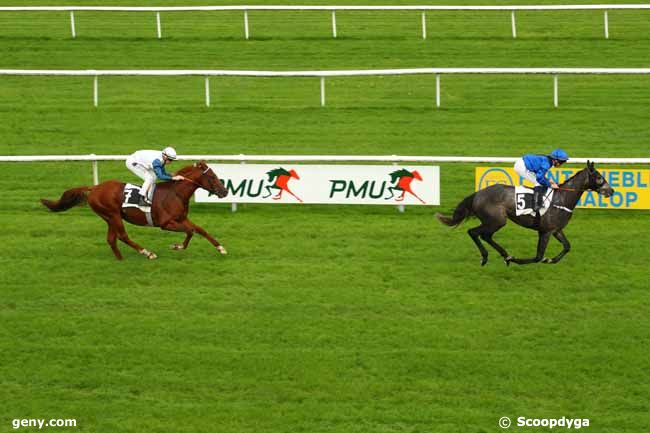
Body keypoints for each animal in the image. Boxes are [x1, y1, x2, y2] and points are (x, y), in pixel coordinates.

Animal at [41, 160, 228, 258]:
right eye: (212, 177)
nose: (225, 192)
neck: (175, 193)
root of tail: (94, 188)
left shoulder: (181, 218)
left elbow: (200, 230)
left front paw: (221, 248)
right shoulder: (166, 224)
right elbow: (190, 231)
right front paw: (177, 246)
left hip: (109, 217)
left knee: (111, 239)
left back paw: (120, 259)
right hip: (113, 214)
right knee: (122, 236)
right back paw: (147, 253)